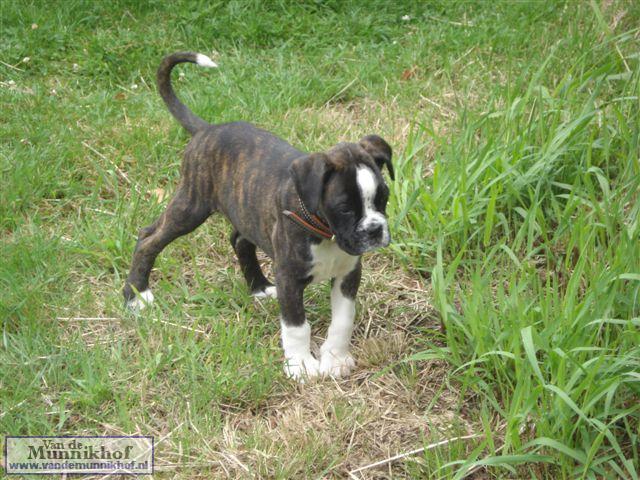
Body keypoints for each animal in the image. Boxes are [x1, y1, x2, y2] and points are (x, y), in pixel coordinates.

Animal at [123, 52, 394, 380]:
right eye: (344, 209)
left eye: (383, 197)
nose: (375, 230)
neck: (323, 231)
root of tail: (207, 129)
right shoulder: (289, 277)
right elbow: (297, 326)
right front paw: (301, 366)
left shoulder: (348, 274)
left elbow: (343, 320)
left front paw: (335, 359)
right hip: (191, 205)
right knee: (148, 238)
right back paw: (137, 295)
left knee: (238, 239)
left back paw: (259, 286)